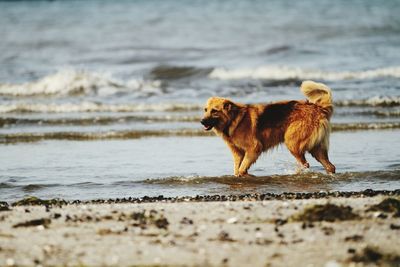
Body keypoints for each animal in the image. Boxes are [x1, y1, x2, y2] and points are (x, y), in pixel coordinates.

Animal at [202, 81, 336, 178]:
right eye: (205, 110)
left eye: (214, 111)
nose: (202, 121)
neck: (234, 119)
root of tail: (318, 108)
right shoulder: (238, 153)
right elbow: (237, 170)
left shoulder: (253, 149)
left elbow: (241, 169)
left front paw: (247, 175)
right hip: (316, 149)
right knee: (329, 166)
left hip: (292, 142)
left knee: (305, 164)